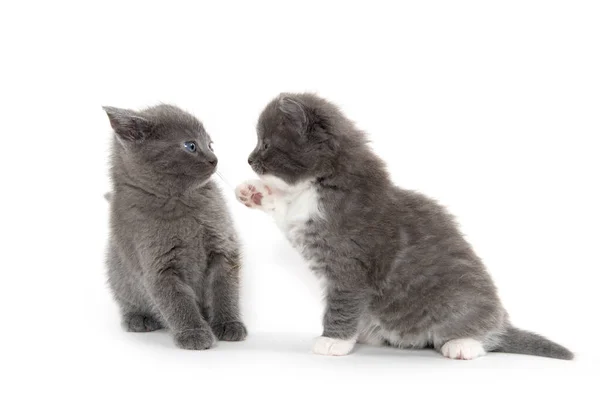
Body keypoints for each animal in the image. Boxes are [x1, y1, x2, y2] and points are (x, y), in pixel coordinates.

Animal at [103, 104, 246, 350]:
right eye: (191, 145)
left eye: (210, 144)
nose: (214, 159)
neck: (177, 201)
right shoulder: (159, 266)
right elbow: (177, 301)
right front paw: (194, 332)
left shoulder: (223, 246)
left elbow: (224, 288)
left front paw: (229, 323)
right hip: (117, 272)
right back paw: (138, 318)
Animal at [234, 93, 572, 360]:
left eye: (265, 144)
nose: (249, 159)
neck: (323, 182)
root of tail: (502, 322)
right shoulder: (304, 219)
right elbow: (285, 207)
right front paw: (254, 192)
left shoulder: (349, 264)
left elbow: (342, 303)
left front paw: (333, 341)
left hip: (462, 304)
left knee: (485, 337)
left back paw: (464, 344)